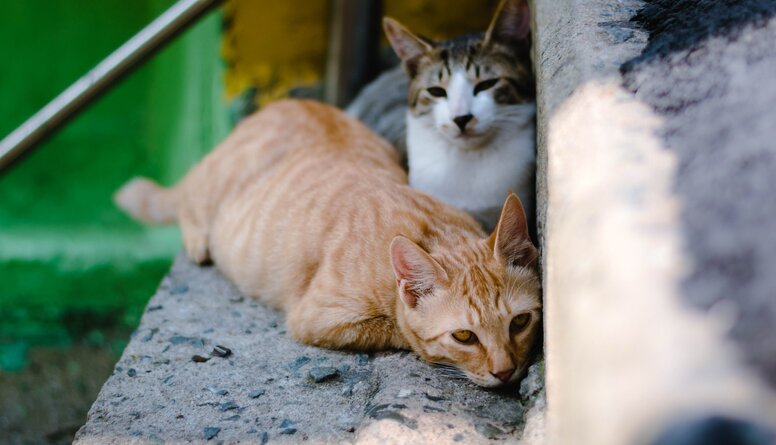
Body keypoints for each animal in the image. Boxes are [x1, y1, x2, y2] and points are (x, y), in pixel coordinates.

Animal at [115, 99, 540, 386]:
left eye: (520, 322)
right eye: (464, 336)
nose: (506, 372)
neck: (432, 229)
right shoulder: (316, 317)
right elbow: (398, 329)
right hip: (206, 189)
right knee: (186, 199)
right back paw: (197, 237)